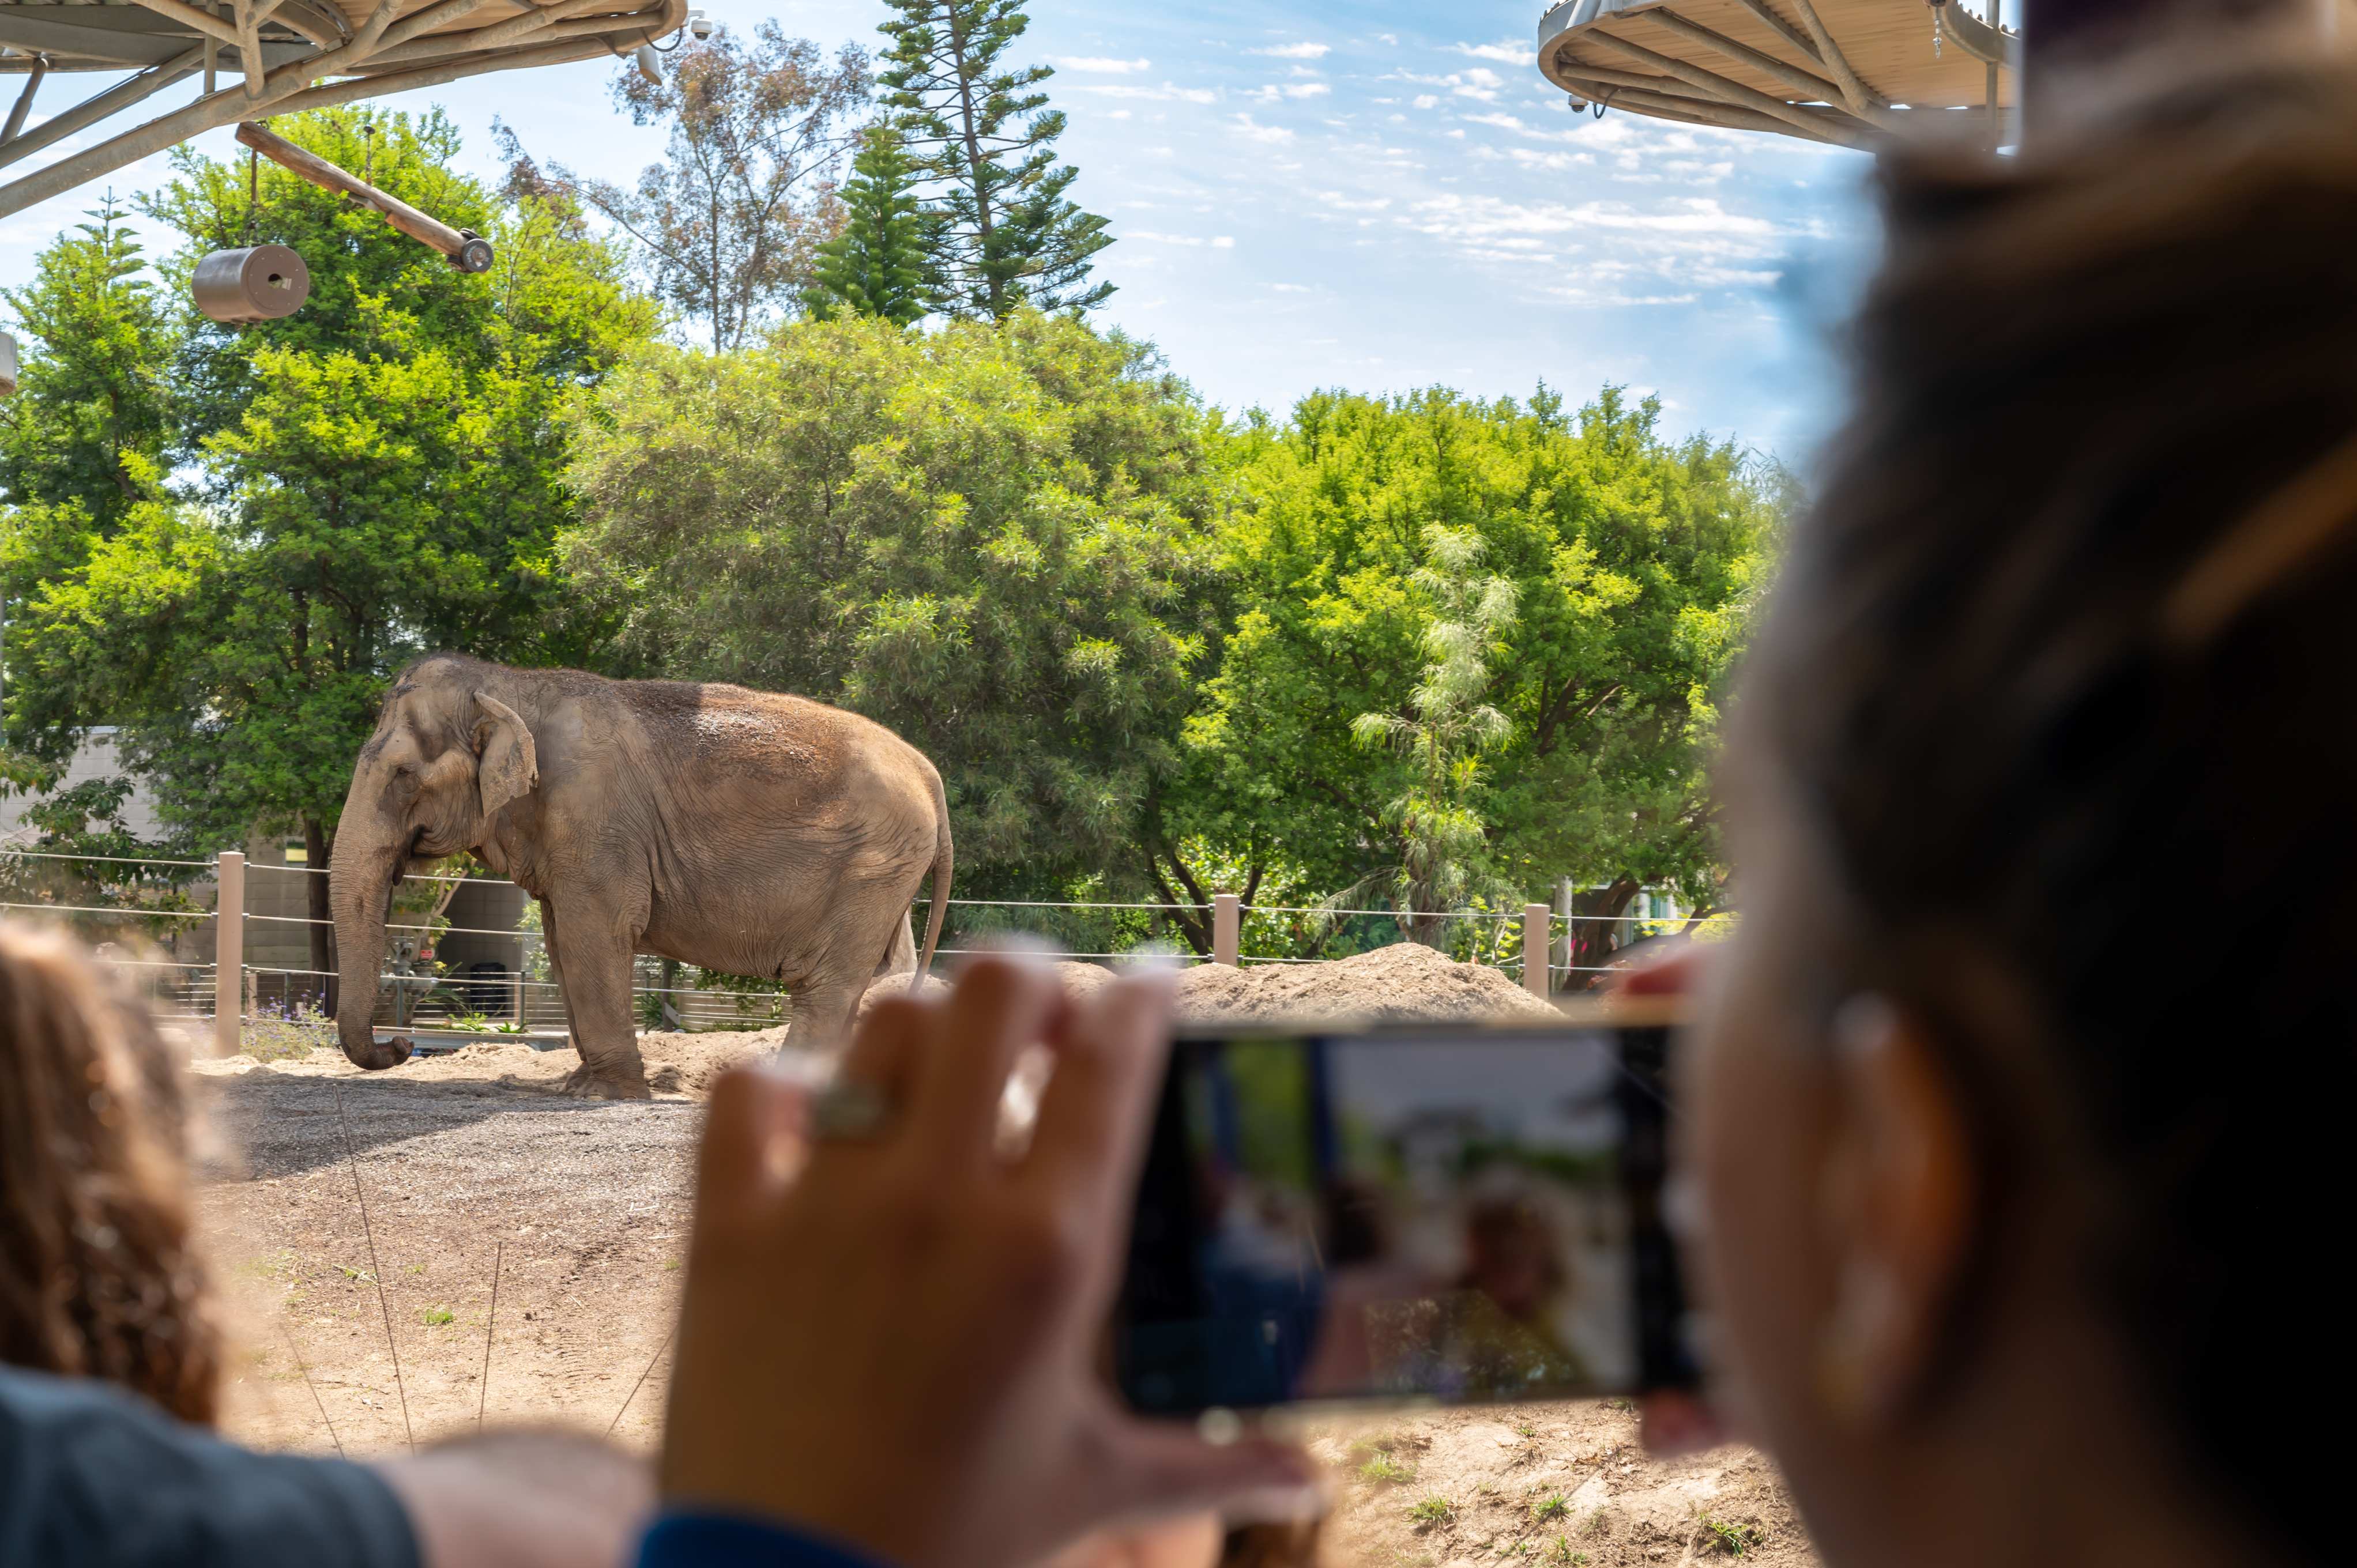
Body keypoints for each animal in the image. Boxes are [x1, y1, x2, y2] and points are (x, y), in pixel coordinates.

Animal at [327, 646, 952, 1089]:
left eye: (403, 774)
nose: (401, 1046)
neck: (509, 682)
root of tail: (928, 771)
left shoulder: (595, 817)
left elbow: (593, 935)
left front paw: (605, 1092)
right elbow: (561, 942)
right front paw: (579, 1084)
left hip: (871, 866)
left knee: (826, 985)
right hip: (886, 870)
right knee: (868, 976)